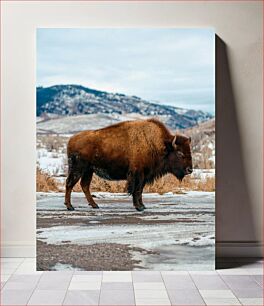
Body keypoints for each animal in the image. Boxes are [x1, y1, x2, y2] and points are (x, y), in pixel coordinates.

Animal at [64, 118, 192, 212]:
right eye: (180, 153)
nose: (189, 170)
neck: (160, 145)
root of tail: (71, 140)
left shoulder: (144, 175)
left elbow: (140, 190)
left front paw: (143, 206)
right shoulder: (137, 174)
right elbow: (136, 190)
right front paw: (139, 207)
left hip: (88, 170)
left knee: (84, 185)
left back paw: (95, 205)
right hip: (77, 169)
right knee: (70, 184)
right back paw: (70, 207)